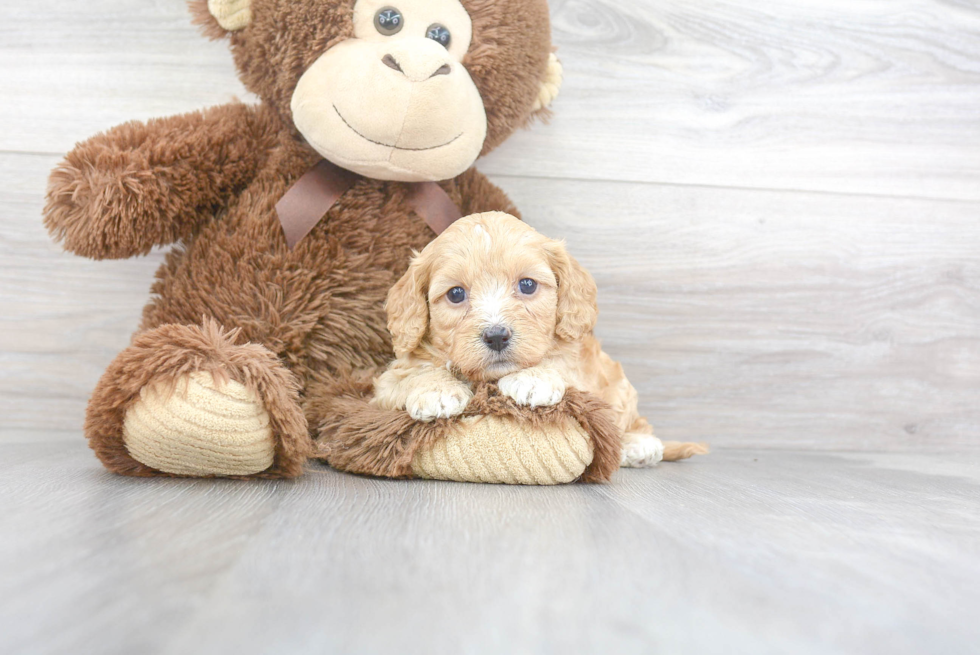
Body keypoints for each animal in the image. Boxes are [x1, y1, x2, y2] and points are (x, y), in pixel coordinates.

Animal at [374, 211, 704, 466]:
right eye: (456, 293)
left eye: (528, 285)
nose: (497, 336)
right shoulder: (385, 386)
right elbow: (414, 372)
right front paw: (437, 391)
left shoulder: (579, 365)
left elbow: (558, 362)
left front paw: (532, 379)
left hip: (620, 387)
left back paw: (639, 445)